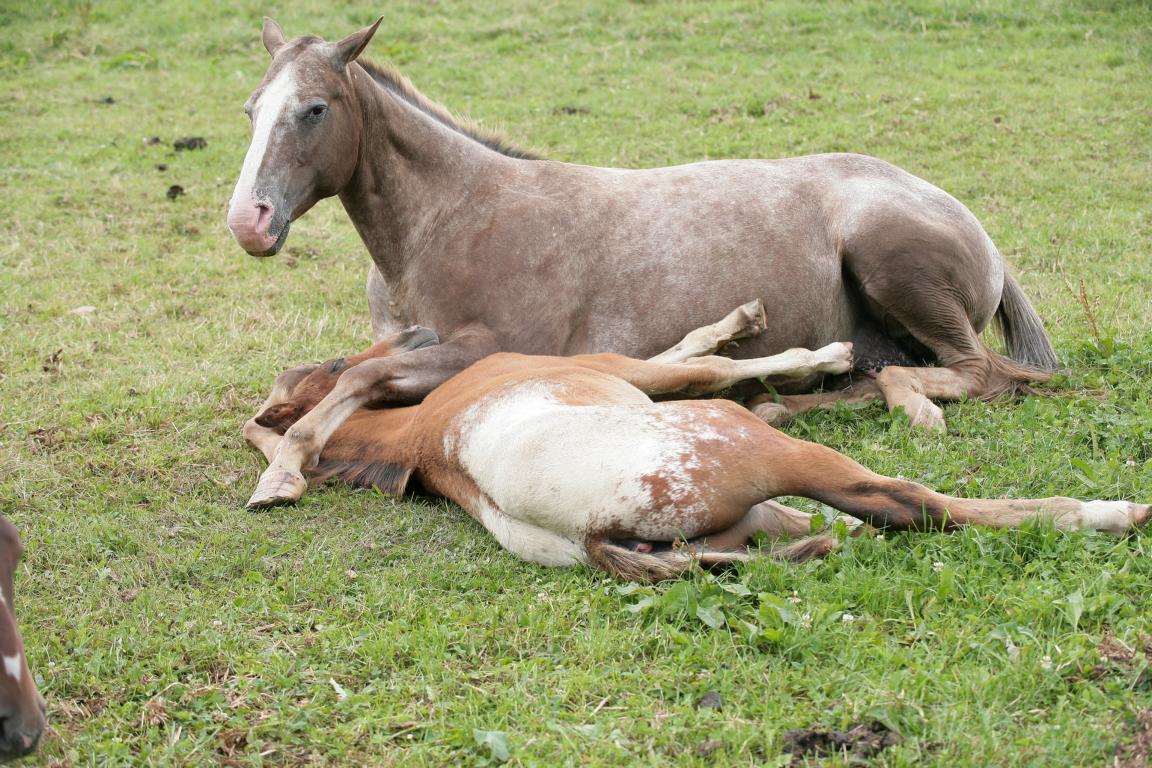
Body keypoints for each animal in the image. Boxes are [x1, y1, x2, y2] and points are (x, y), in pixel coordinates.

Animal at [226, 15, 1059, 506]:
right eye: (251, 110)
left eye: (314, 109)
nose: (248, 222)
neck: (452, 218)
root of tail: (971, 226)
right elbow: (309, 383)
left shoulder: (493, 355)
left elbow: (353, 384)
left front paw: (285, 470)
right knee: (872, 377)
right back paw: (787, 398)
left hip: (893, 265)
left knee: (980, 374)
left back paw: (903, 401)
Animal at [240, 308, 1142, 580]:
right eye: (337, 363)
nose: (415, 333)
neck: (426, 426)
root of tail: (591, 535)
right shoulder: (625, 370)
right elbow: (707, 361)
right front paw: (821, 354)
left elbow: (696, 349)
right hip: (766, 451)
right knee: (910, 505)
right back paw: (1111, 512)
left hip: (747, 525)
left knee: (828, 528)